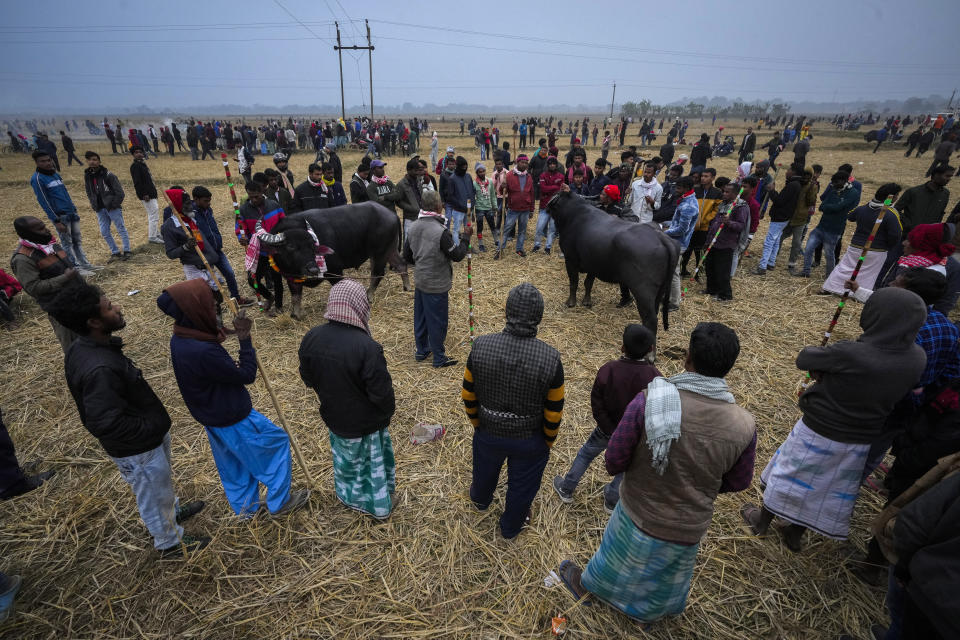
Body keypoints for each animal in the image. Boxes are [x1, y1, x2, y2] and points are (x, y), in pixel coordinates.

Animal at [262, 202, 408, 318]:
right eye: (290, 246)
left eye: (312, 245)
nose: (313, 269)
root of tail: (392, 214)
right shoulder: (291, 278)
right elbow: (296, 296)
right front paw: (296, 314)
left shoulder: (335, 271)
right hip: (390, 249)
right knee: (401, 265)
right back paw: (406, 287)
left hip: (379, 253)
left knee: (377, 273)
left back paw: (369, 296)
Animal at [552, 191, 680, 336]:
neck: (573, 216)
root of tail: (661, 237)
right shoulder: (592, 264)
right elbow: (588, 283)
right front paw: (587, 301)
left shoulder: (570, 259)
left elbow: (574, 282)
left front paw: (570, 303)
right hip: (661, 290)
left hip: (643, 291)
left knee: (650, 319)